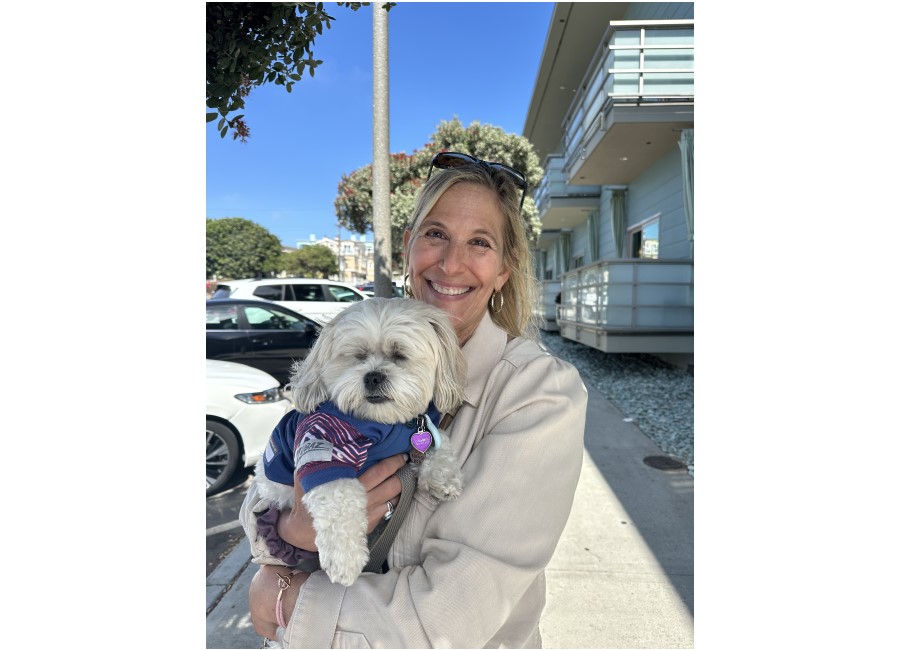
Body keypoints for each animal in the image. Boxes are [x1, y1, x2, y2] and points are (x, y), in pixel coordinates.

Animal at [251, 296, 464, 584]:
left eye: (399, 355)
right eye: (358, 357)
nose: (373, 376)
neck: (384, 424)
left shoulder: (422, 429)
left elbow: (438, 445)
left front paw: (443, 478)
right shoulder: (324, 447)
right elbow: (339, 503)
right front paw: (345, 560)